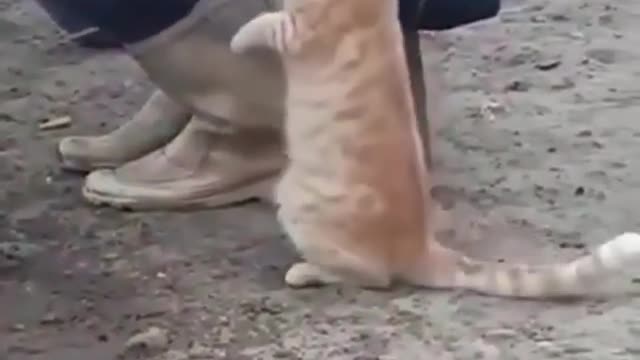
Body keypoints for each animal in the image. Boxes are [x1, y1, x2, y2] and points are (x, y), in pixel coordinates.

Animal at [230, 0, 640, 298]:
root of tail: (419, 244)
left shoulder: (300, 29)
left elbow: (264, 23)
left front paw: (238, 38)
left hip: (294, 200)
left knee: (372, 277)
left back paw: (307, 271)